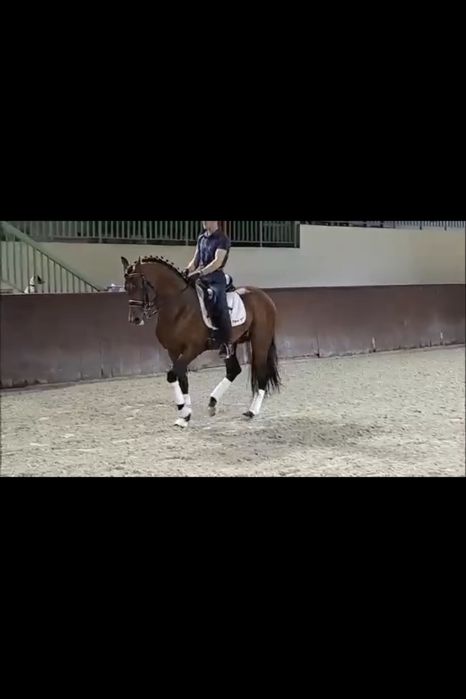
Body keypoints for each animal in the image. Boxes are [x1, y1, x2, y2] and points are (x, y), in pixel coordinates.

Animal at [121, 255, 281, 428]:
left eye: (138, 285)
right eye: (126, 288)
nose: (135, 319)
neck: (179, 307)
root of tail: (263, 295)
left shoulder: (192, 349)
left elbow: (172, 375)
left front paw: (183, 411)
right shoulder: (173, 350)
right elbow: (182, 379)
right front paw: (185, 415)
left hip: (260, 341)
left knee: (262, 372)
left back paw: (252, 411)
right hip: (231, 344)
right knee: (233, 370)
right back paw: (213, 403)